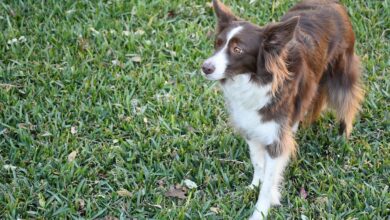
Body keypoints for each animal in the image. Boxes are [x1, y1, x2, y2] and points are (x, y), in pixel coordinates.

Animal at [203, 0, 364, 218]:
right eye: (218, 44)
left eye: (237, 50)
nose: (205, 67)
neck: (254, 81)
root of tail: (332, 3)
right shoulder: (251, 127)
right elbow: (257, 162)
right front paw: (255, 184)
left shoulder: (275, 140)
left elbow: (269, 180)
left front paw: (260, 211)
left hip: (341, 71)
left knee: (348, 102)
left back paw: (342, 137)